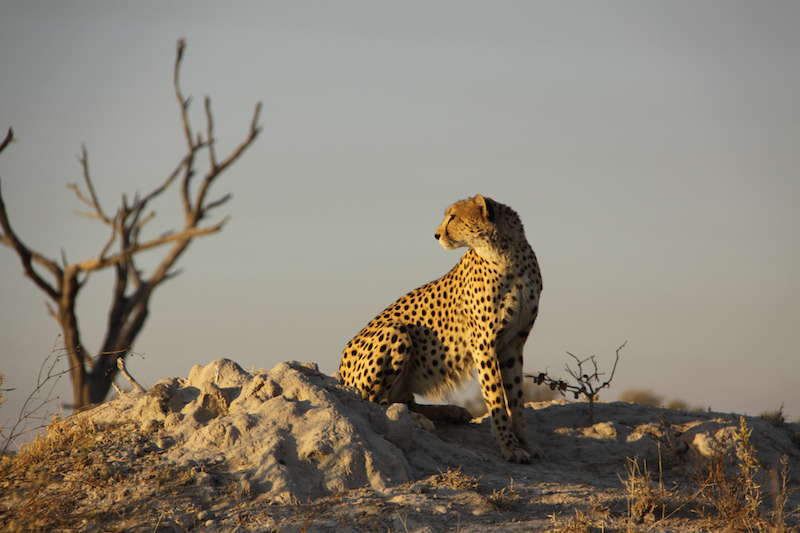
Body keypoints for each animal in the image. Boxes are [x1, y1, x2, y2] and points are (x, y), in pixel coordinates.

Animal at [338, 194, 544, 462]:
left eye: (453, 216)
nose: (436, 235)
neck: (506, 254)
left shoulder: (513, 343)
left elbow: (516, 397)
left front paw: (523, 443)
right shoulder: (483, 344)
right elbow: (496, 397)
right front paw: (510, 447)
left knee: (403, 401)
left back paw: (451, 412)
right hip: (395, 330)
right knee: (375, 402)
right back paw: (418, 420)